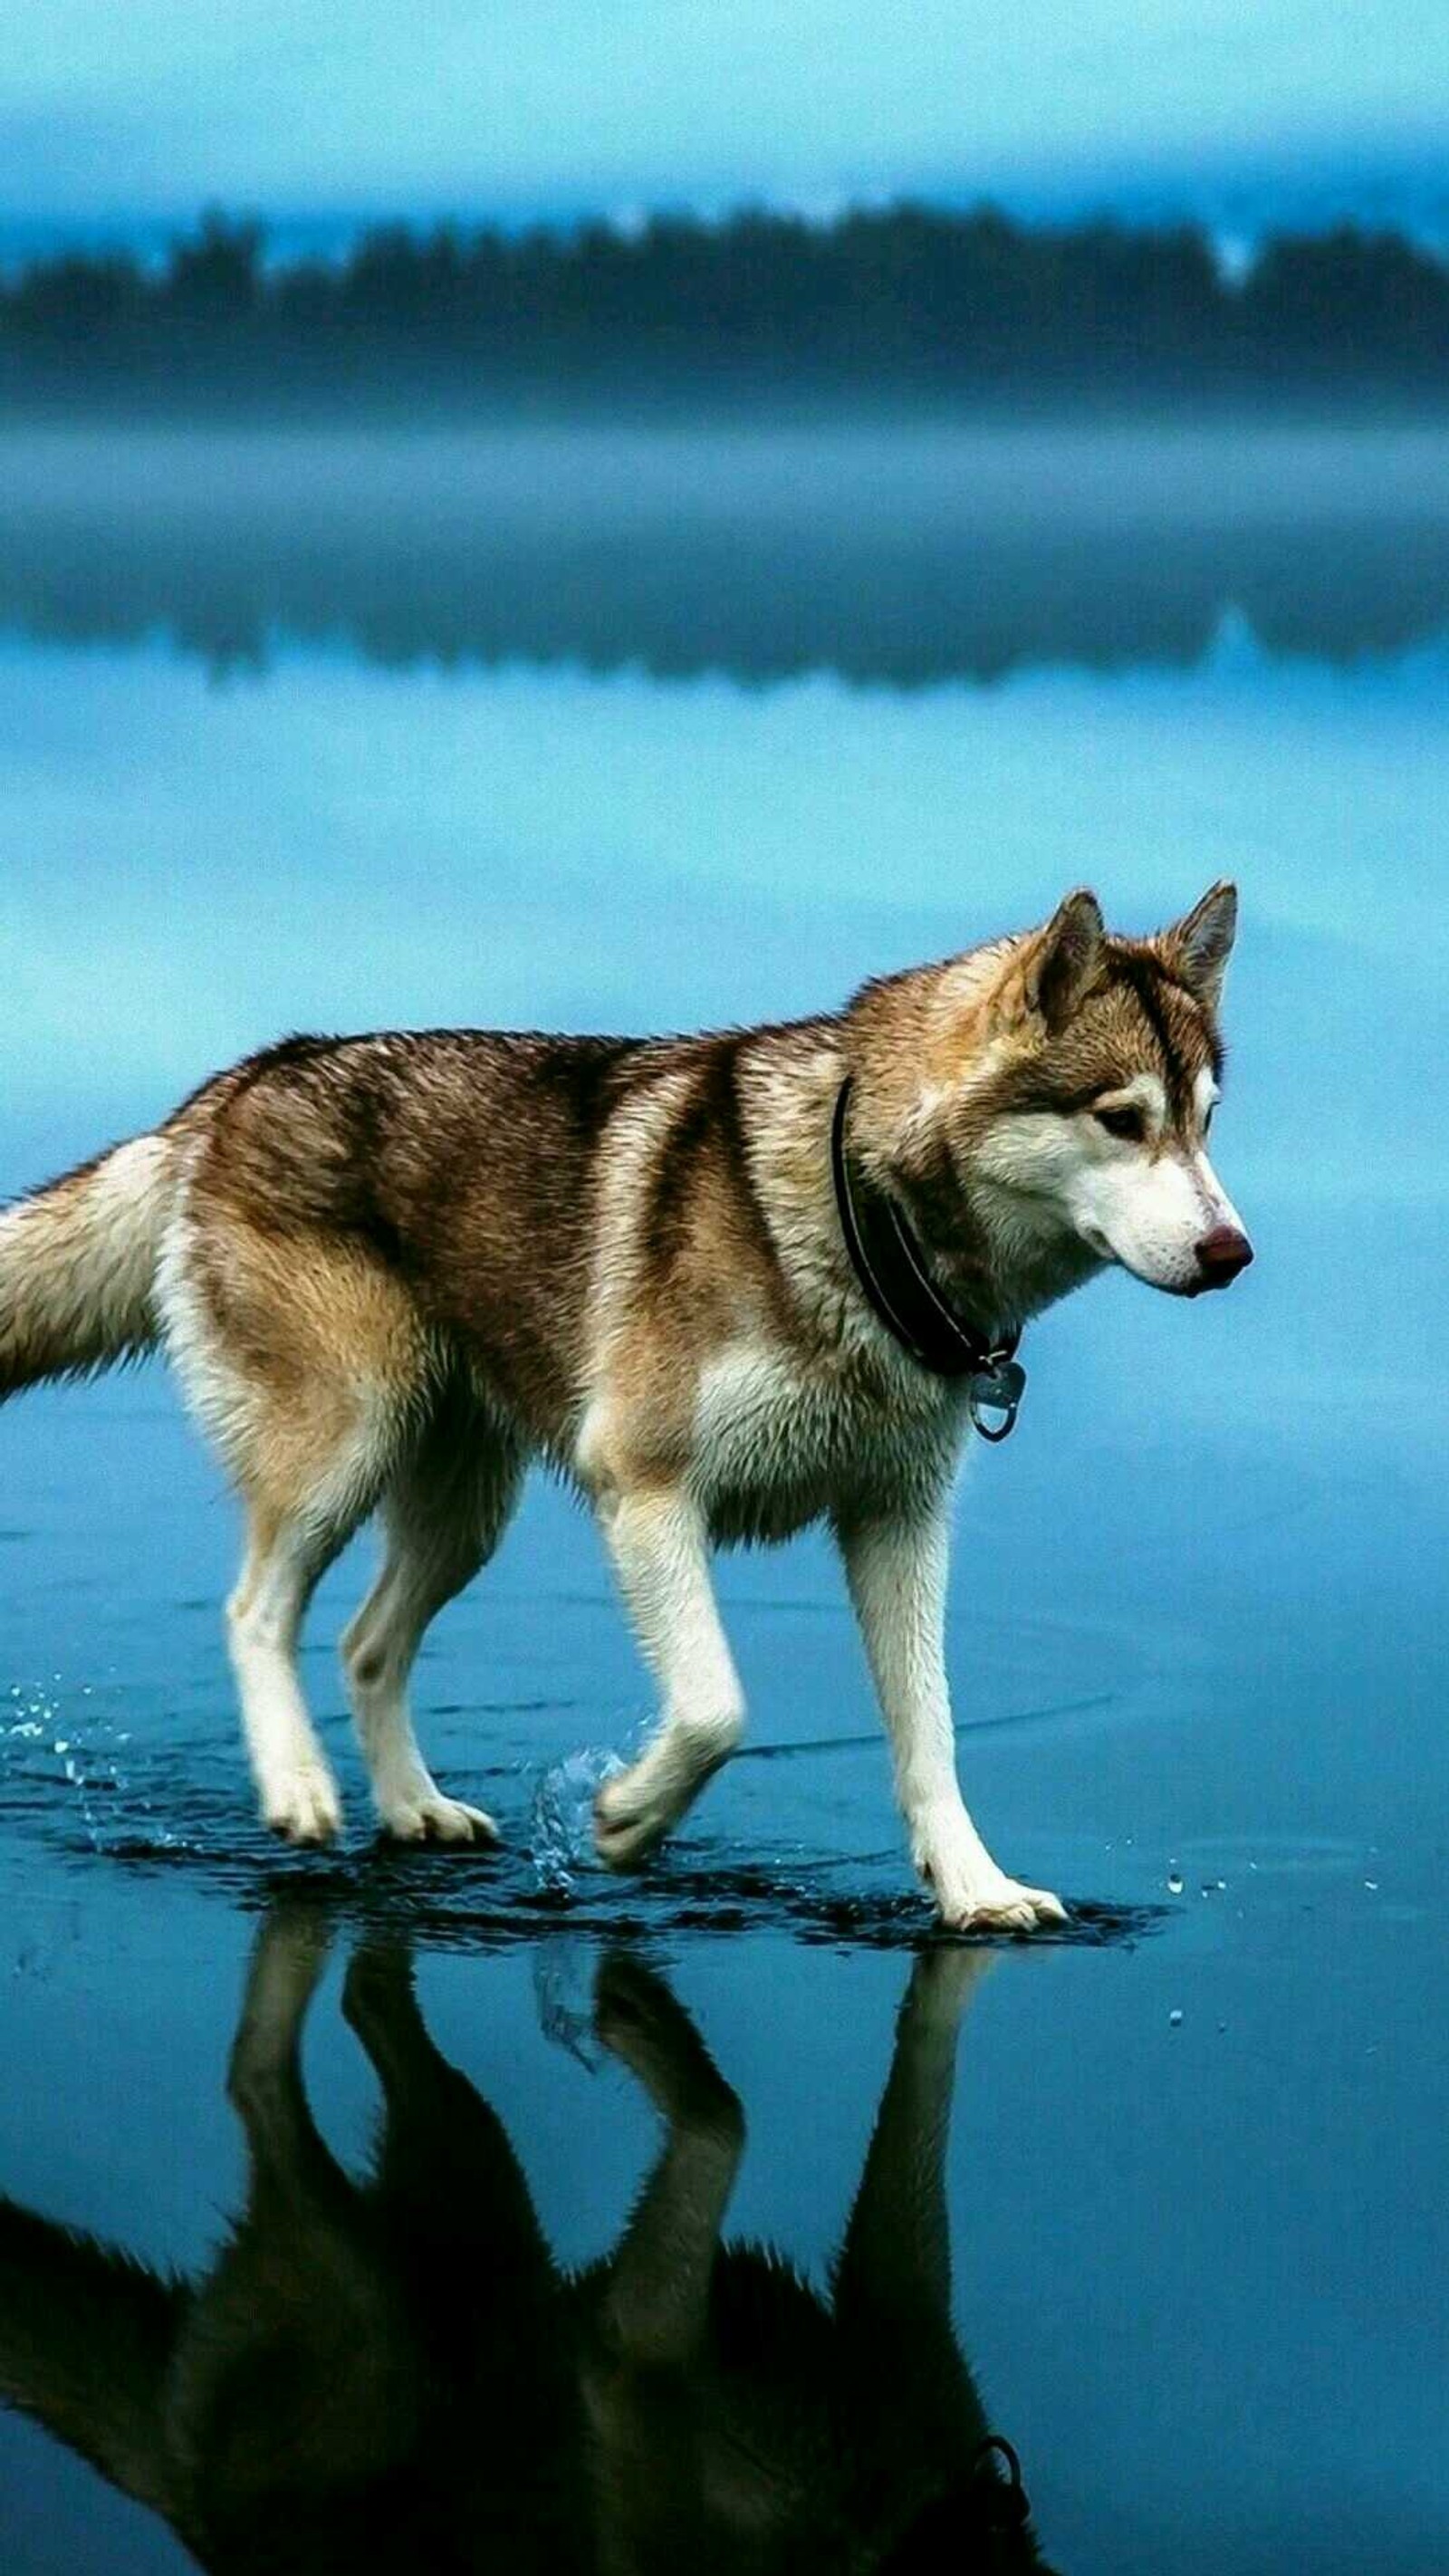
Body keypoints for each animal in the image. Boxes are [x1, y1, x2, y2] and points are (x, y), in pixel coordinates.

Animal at [0, 886, 1245, 1916]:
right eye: (1121, 1119)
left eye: (1204, 1121)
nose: (1232, 1253)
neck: (860, 1219)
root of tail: (239, 1082)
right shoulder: (645, 1492)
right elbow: (715, 1710)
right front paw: (627, 1820)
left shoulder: (898, 1524)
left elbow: (928, 1735)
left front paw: (976, 1892)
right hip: (342, 1452)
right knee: (257, 1611)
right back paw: (301, 1789)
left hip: (465, 1512)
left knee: (364, 1644)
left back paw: (414, 1809)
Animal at [0, 1927, 1055, 2565]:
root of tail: (181, 2510)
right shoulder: (631, 2359)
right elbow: (724, 2120)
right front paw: (641, 2022)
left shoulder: (907, 2322)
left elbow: (921, 2064)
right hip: (373, 2302)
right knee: (256, 2076)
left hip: (475, 2173)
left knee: (364, 2001)